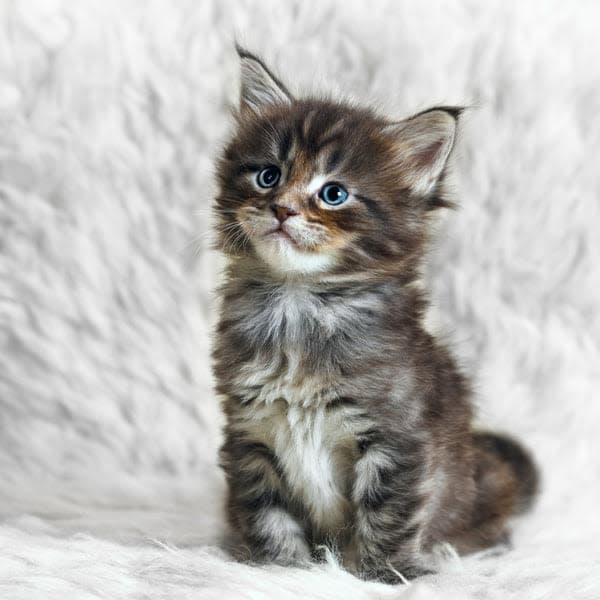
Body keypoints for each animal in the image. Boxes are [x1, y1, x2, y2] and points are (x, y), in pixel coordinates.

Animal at [212, 45, 540, 580]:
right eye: (268, 176)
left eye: (333, 193)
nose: (281, 209)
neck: (299, 302)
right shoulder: (248, 432)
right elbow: (267, 513)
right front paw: (282, 571)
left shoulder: (398, 439)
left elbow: (388, 512)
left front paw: (384, 575)